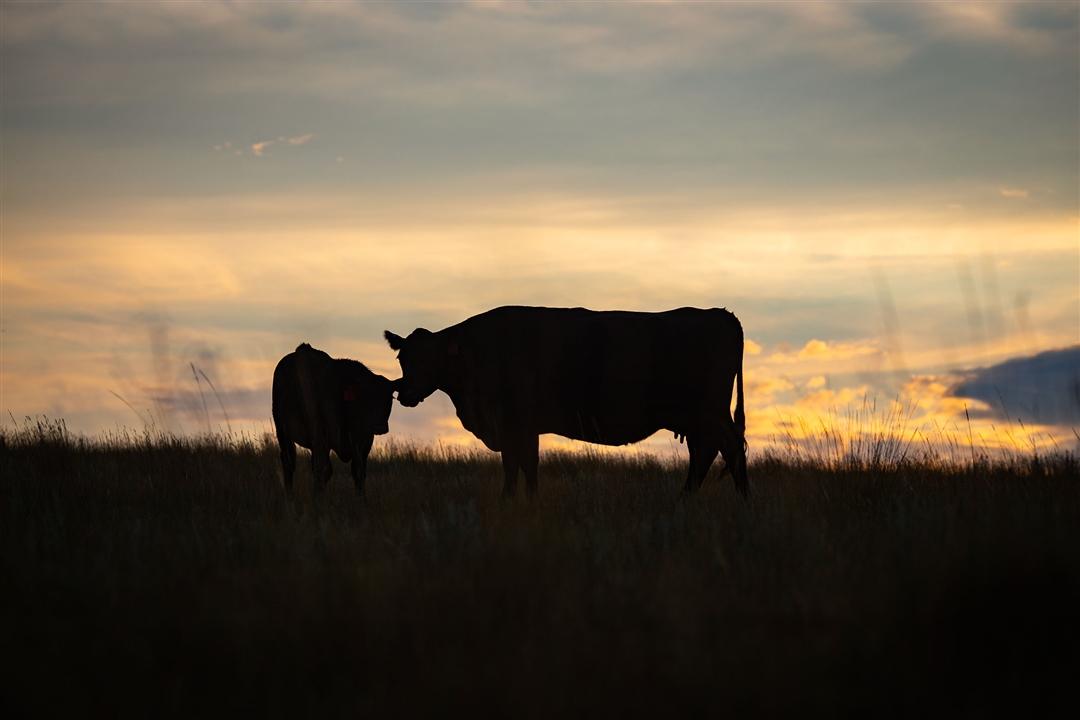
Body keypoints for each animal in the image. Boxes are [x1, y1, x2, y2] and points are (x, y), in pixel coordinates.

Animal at [272, 343, 395, 496]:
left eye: (390, 398)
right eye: (364, 396)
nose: (380, 426)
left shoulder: (364, 441)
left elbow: (359, 472)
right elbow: (325, 469)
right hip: (283, 430)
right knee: (290, 461)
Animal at [384, 306, 747, 498]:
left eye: (429, 359)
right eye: (403, 358)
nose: (405, 394)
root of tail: (722, 315)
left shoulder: (515, 423)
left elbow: (518, 466)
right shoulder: (521, 428)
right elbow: (523, 466)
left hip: (709, 413)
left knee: (727, 448)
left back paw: (742, 501)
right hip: (696, 418)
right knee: (705, 453)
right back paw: (686, 498)